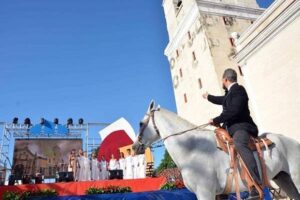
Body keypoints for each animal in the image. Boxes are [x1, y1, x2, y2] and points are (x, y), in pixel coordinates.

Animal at [133, 101, 300, 200]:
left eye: (141, 123)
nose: (135, 147)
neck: (192, 149)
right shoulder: (219, 194)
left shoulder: (205, 193)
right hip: (284, 179)